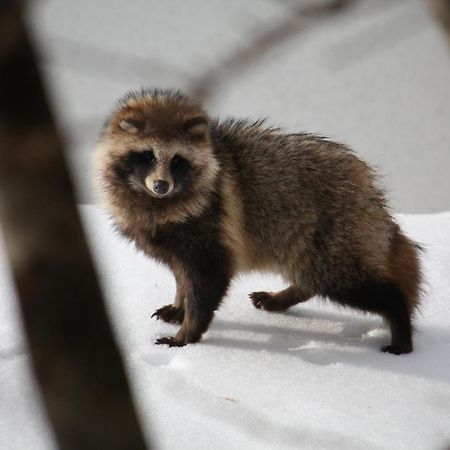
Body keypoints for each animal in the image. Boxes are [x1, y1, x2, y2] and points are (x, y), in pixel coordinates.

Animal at [95, 89, 422, 356]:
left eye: (177, 160)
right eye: (147, 156)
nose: (161, 186)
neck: (157, 202)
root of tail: (369, 191)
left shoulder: (210, 231)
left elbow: (207, 283)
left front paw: (187, 334)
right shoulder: (174, 244)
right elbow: (181, 276)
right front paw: (179, 305)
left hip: (334, 236)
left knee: (348, 281)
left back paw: (400, 323)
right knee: (311, 276)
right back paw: (286, 296)